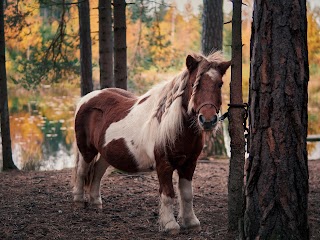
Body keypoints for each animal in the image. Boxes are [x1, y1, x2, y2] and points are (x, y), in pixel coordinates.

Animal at [72, 51, 230, 233]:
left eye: (220, 84)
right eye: (193, 84)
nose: (208, 120)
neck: (174, 126)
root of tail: (86, 98)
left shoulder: (189, 164)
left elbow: (186, 194)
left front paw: (191, 222)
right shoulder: (164, 164)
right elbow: (168, 194)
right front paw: (170, 225)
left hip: (105, 152)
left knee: (97, 172)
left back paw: (96, 203)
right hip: (86, 150)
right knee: (82, 171)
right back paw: (78, 202)